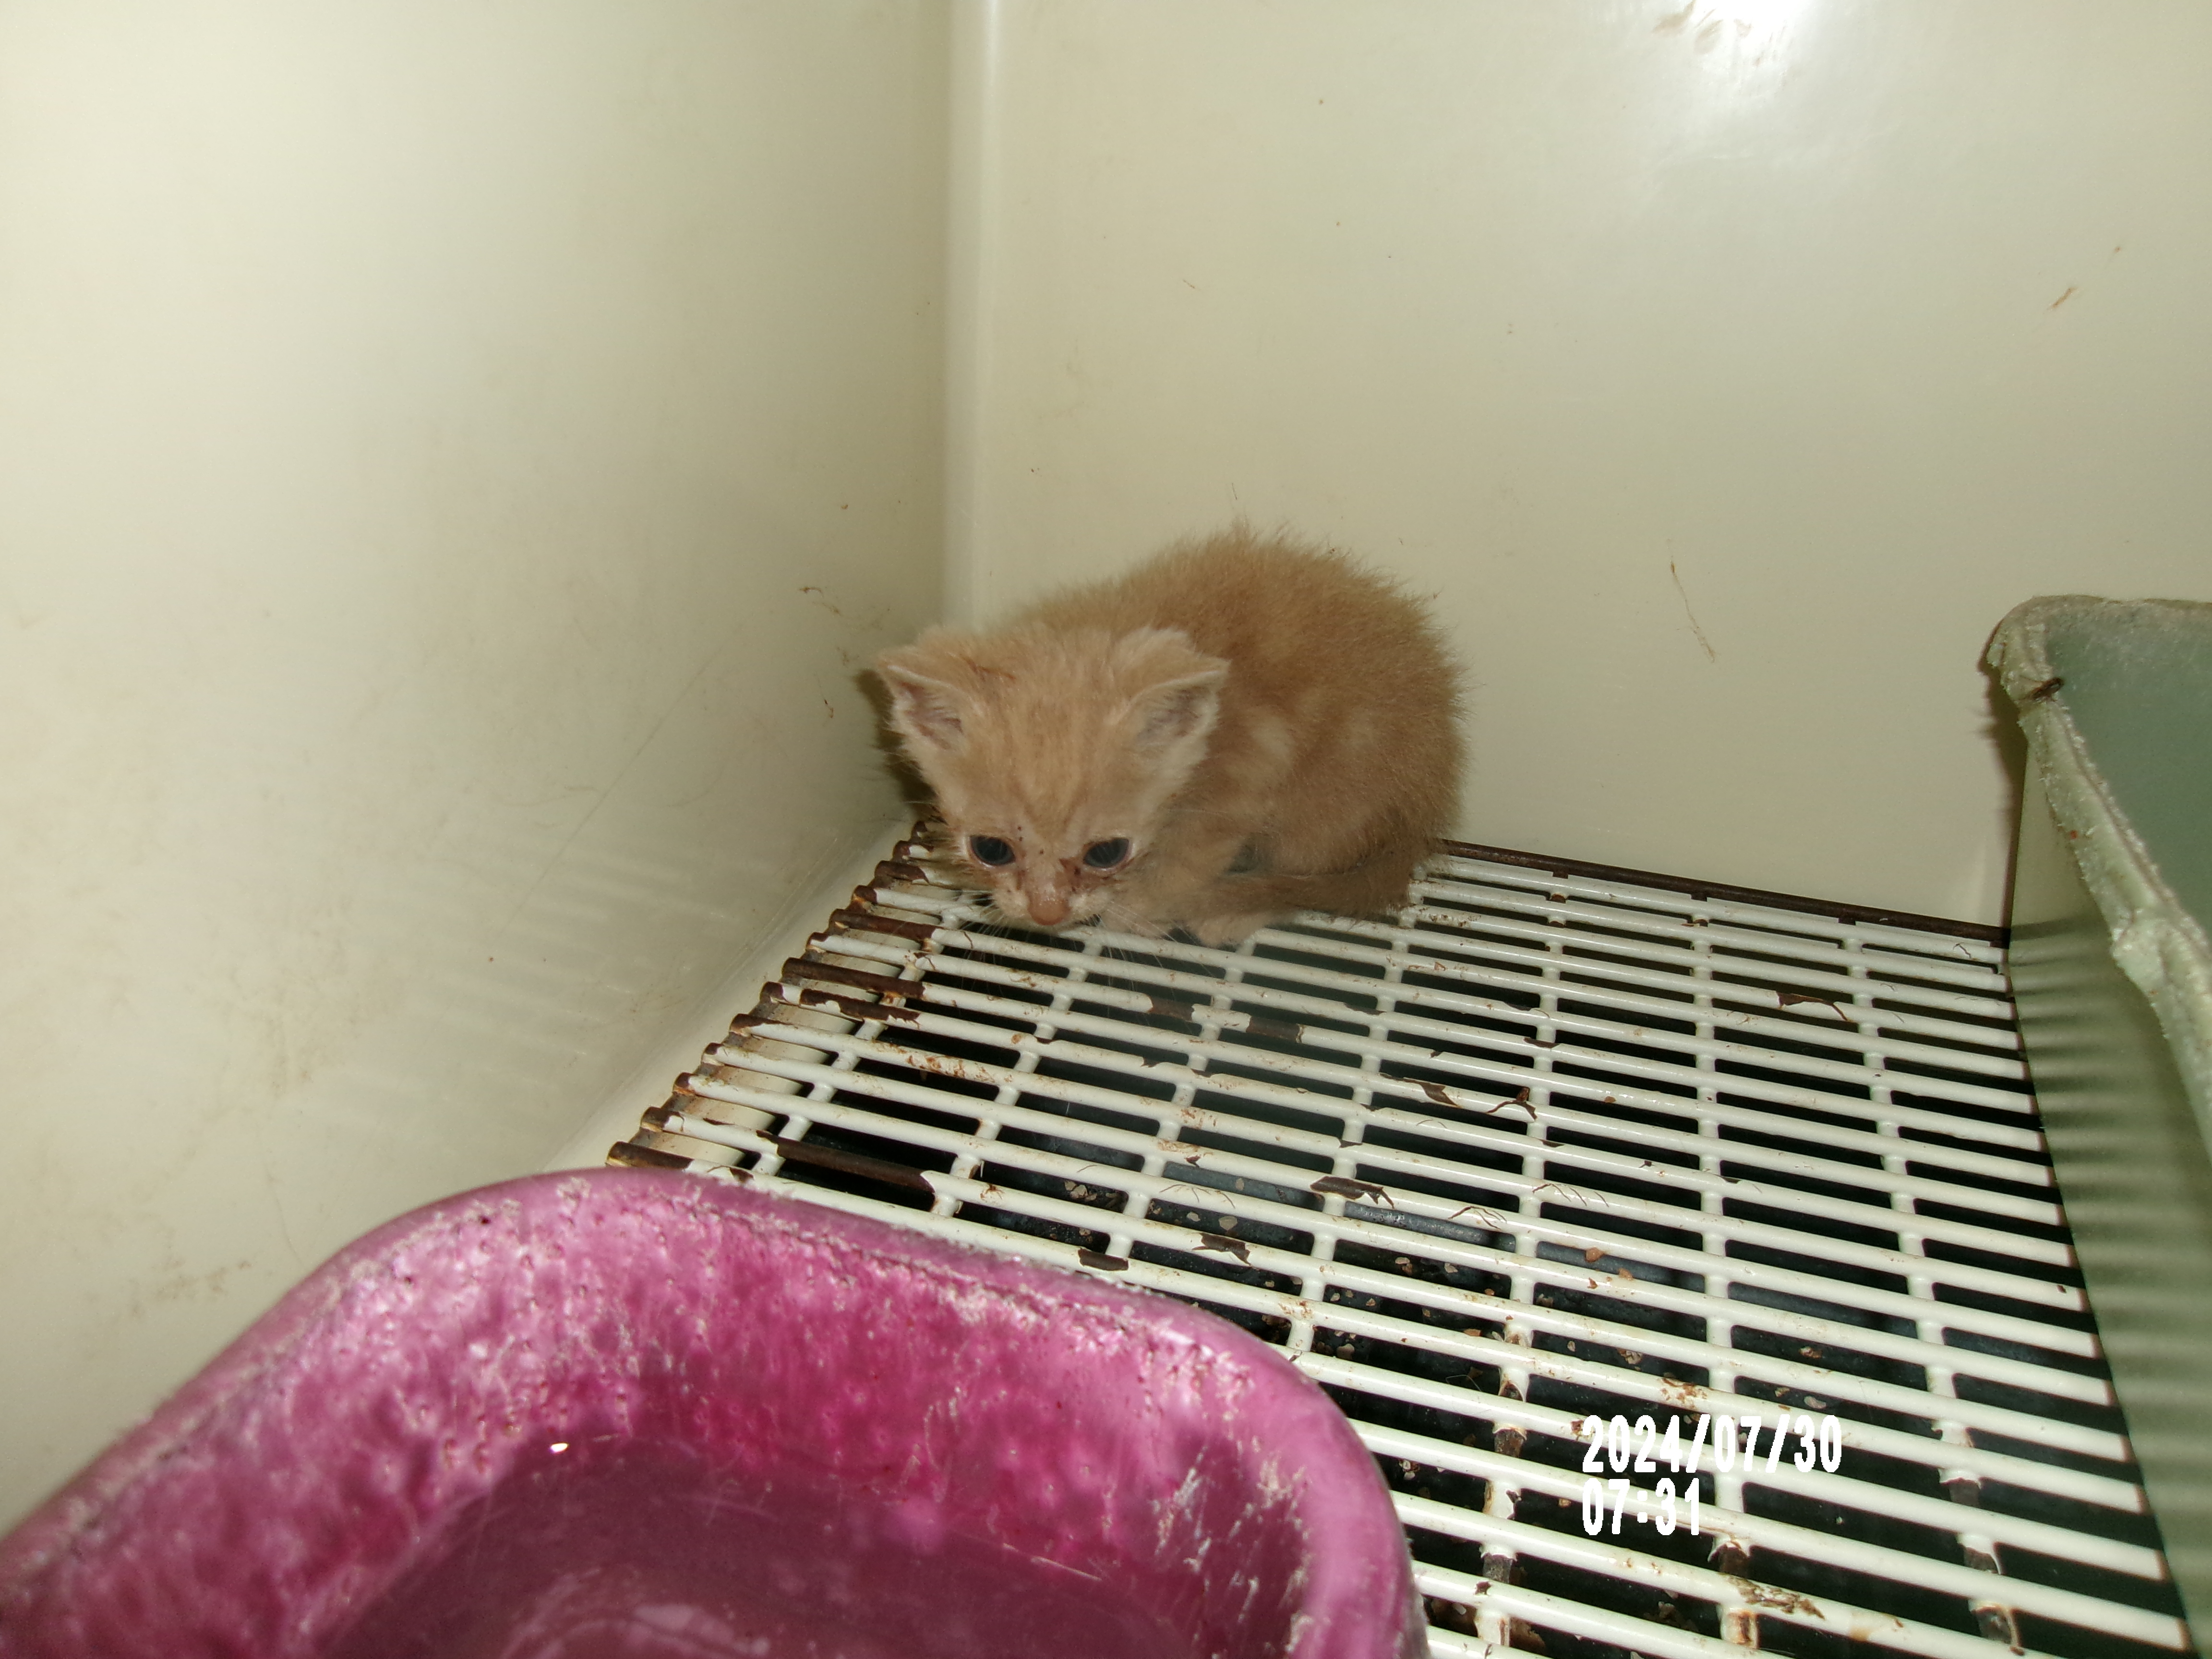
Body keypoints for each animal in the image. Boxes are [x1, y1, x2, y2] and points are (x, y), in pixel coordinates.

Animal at [871, 533, 1460, 947]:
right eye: (991, 849)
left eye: (1107, 853)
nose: (1047, 914)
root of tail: (1419, 817)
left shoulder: (1247, 772)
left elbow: (1188, 866)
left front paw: (1135, 912)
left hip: (1327, 803)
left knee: (1305, 868)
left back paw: (1232, 913)